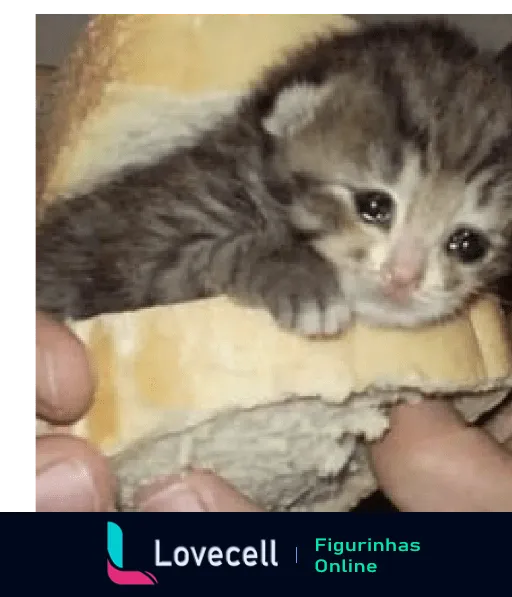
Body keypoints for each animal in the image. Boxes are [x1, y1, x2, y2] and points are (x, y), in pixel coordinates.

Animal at [33, 22, 512, 336]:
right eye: (374, 206)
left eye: (468, 244)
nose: (404, 279)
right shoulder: (132, 253)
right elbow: (194, 257)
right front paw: (298, 277)